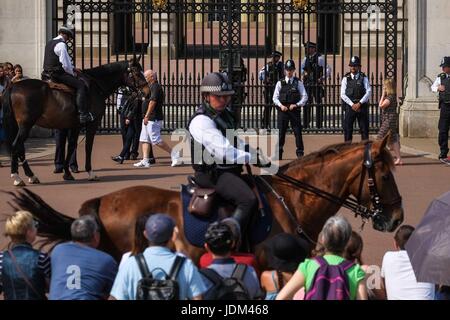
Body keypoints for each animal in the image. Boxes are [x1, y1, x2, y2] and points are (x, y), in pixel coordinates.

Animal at [0, 59, 146, 186]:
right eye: (137, 73)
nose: (146, 91)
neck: (96, 86)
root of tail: (13, 86)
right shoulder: (92, 124)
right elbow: (88, 147)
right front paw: (90, 172)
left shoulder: (75, 126)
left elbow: (71, 147)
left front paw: (67, 173)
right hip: (26, 125)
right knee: (15, 146)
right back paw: (17, 177)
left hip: (20, 125)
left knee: (20, 148)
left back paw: (31, 176)